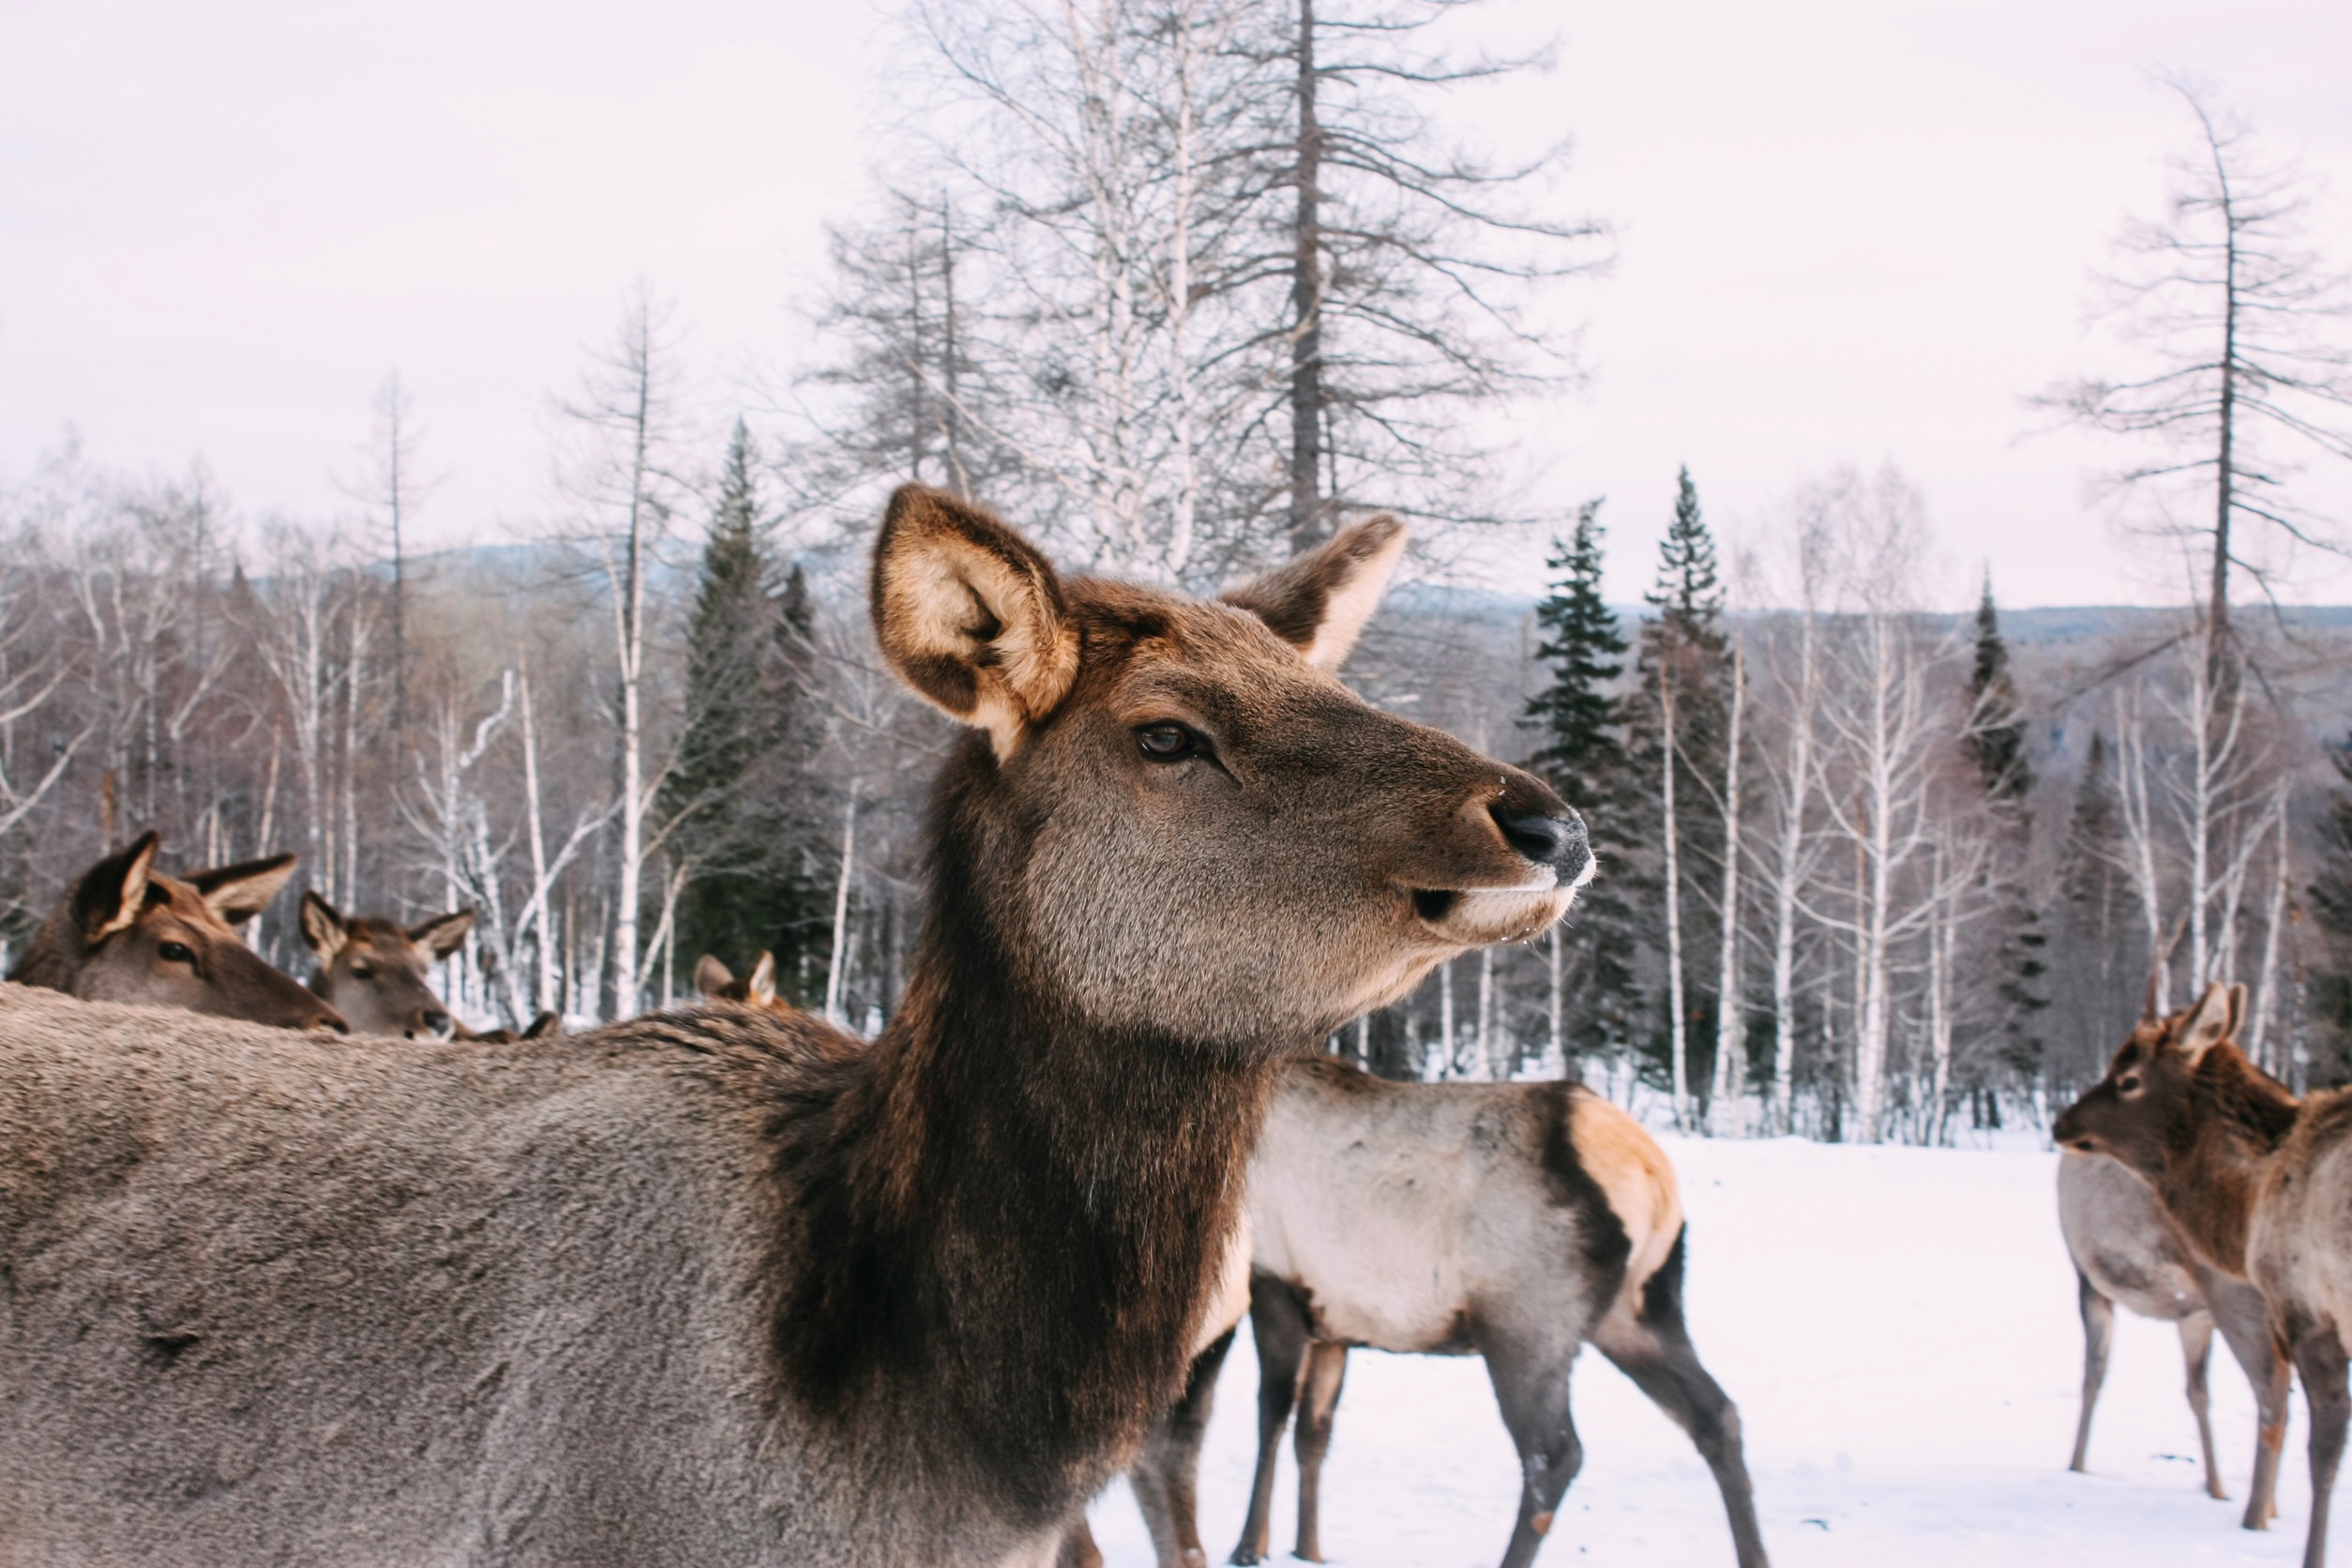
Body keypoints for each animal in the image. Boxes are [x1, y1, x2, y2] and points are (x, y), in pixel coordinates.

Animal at [2050, 1147, 2285, 1523]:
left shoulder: (2088, 1279)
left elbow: (2092, 1378)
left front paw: (2076, 1466)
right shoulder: (2193, 1317)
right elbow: (2197, 1394)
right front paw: (2214, 1487)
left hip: (2237, 1290)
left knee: (2272, 1392)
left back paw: (2257, 1514)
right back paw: (2269, 1508)